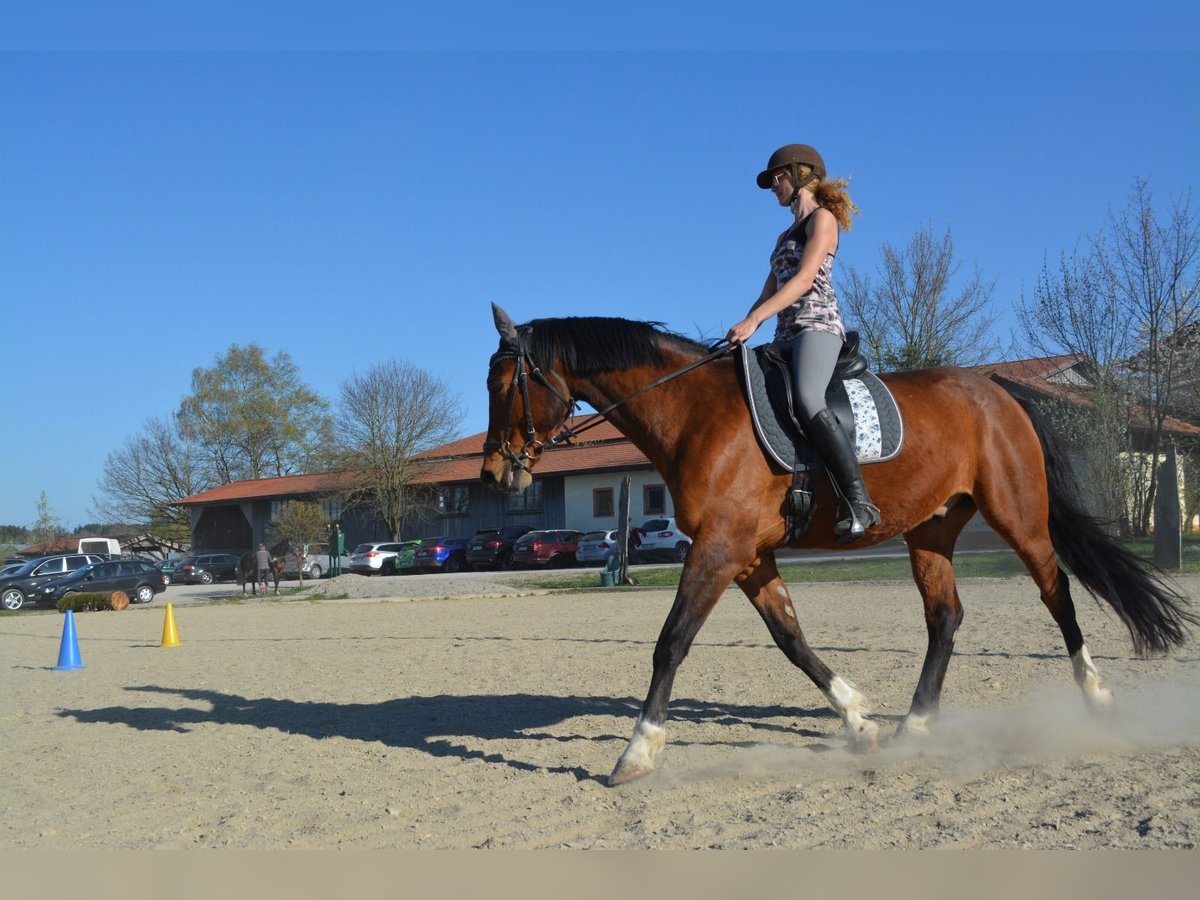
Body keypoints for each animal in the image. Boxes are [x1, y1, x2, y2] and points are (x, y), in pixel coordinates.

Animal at [482, 307, 1195, 787]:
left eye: (503, 385)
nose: (494, 474)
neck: (695, 414)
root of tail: (998, 392)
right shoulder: (747, 555)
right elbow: (791, 638)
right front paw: (858, 719)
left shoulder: (717, 548)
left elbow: (672, 641)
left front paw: (638, 751)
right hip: (930, 530)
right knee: (945, 617)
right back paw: (916, 726)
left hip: (1019, 517)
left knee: (1057, 594)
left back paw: (1096, 696)